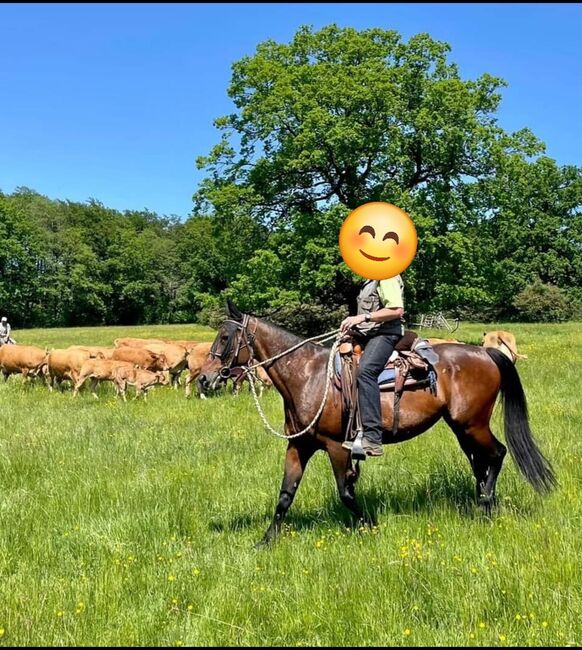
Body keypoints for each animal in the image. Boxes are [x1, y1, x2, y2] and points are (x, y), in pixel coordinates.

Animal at [200, 302, 556, 544]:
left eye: (225, 336)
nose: (205, 378)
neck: (309, 376)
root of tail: (485, 354)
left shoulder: (337, 447)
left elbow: (345, 493)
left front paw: (369, 527)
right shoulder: (298, 445)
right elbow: (285, 494)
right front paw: (265, 541)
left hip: (473, 424)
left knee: (497, 454)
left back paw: (484, 506)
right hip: (462, 427)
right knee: (480, 461)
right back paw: (484, 506)